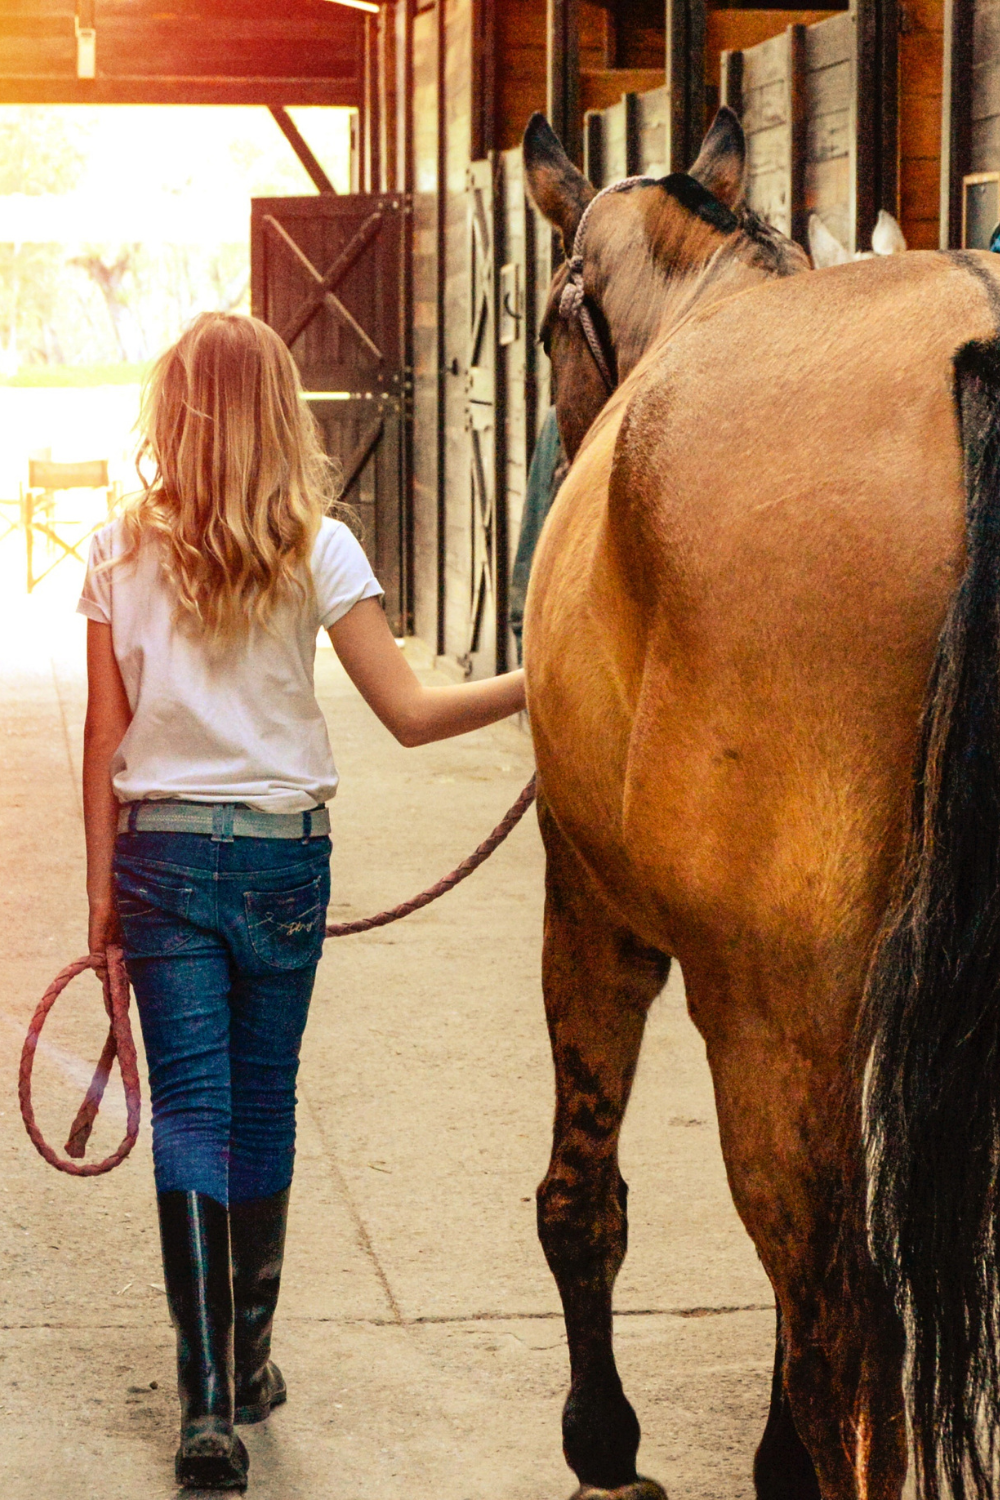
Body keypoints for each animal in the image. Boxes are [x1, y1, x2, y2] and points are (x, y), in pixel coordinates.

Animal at [521, 105, 1000, 1500]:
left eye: (549, 322)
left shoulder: (592, 913)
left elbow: (582, 1202)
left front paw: (604, 1440)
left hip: (777, 1019)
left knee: (853, 1325)